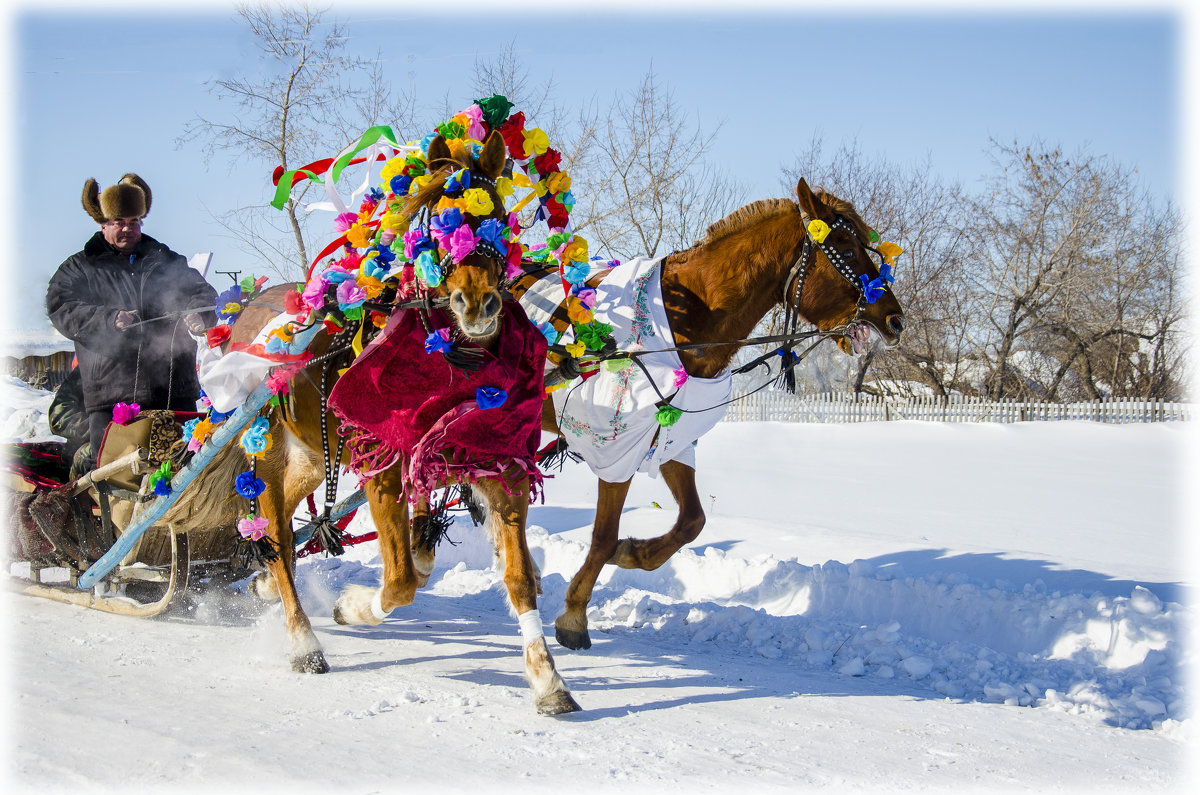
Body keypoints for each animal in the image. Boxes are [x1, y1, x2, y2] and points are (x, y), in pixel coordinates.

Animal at [208, 130, 578, 715]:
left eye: (496, 214)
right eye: (436, 222)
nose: (477, 304)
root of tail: (247, 312)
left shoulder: (500, 467)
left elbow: (518, 577)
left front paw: (548, 680)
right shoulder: (382, 467)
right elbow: (401, 579)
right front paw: (352, 607)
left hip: (311, 458)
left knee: (283, 529)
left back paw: (264, 585)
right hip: (263, 449)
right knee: (274, 529)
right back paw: (303, 640)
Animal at [511, 177, 902, 653]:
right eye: (845, 247)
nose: (895, 319)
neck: (682, 322)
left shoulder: (670, 435)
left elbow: (691, 522)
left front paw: (635, 551)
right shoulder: (616, 446)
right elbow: (602, 536)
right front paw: (574, 612)